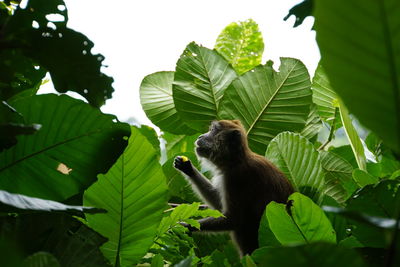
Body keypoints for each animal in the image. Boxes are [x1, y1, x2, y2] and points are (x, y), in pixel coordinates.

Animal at [174, 120, 294, 256]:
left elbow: (233, 219)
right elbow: (219, 206)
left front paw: (182, 226)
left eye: (213, 130)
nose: (200, 136)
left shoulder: (235, 178)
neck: (235, 161)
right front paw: (188, 169)